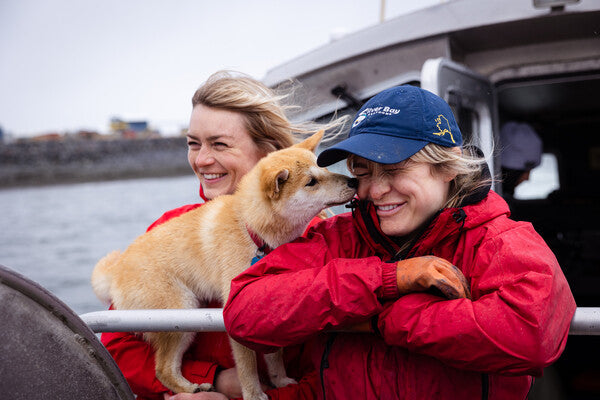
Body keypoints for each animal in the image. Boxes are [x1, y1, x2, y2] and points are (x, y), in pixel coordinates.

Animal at [89, 132, 356, 400]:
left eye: (324, 168)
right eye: (311, 182)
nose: (353, 182)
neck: (252, 229)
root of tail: (116, 270)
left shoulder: (265, 308)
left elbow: (274, 356)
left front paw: (280, 381)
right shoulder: (235, 309)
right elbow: (248, 367)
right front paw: (254, 394)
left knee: (166, 369)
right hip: (180, 311)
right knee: (162, 369)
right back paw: (191, 388)